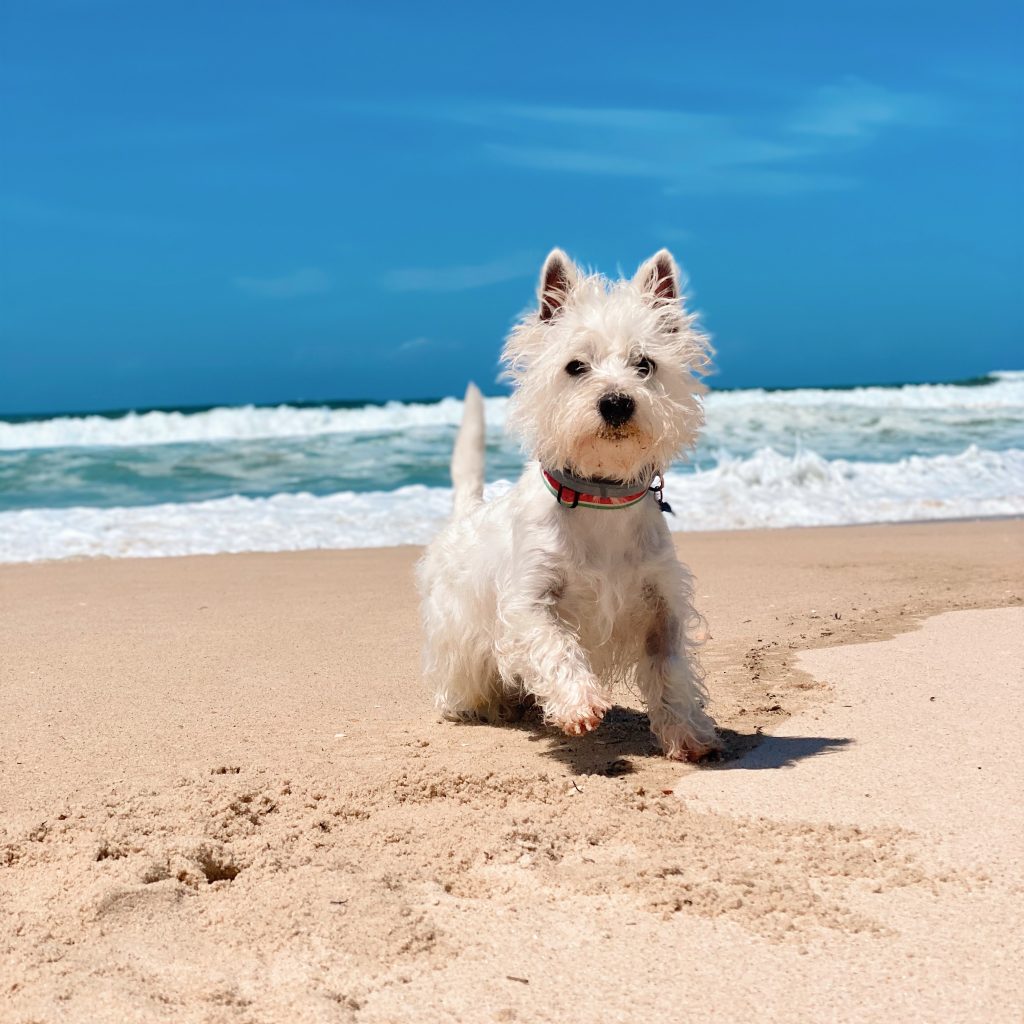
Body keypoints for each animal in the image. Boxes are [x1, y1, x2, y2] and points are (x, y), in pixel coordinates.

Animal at [415, 247, 720, 761]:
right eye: (576, 366)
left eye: (645, 365)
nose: (616, 402)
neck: (601, 497)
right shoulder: (529, 598)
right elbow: (552, 643)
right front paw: (579, 704)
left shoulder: (660, 604)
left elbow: (669, 669)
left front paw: (686, 734)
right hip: (456, 628)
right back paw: (484, 705)